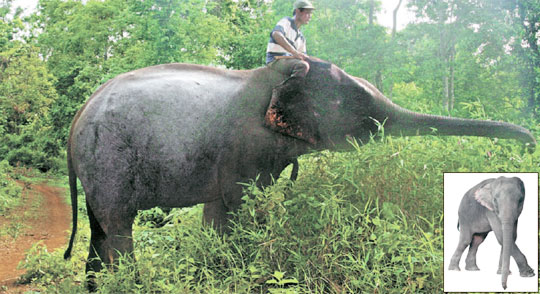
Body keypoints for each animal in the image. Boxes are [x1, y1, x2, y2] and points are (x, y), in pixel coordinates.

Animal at [64, 56, 536, 288]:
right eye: (358, 110)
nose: (529, 143)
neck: (279, 75)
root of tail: (76, 119)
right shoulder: (246, 147)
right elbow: (238, 207)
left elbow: (219, 212)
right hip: (108, 158)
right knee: (118, 226)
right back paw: (129, 283)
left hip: (98, 167)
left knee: (99, 228)